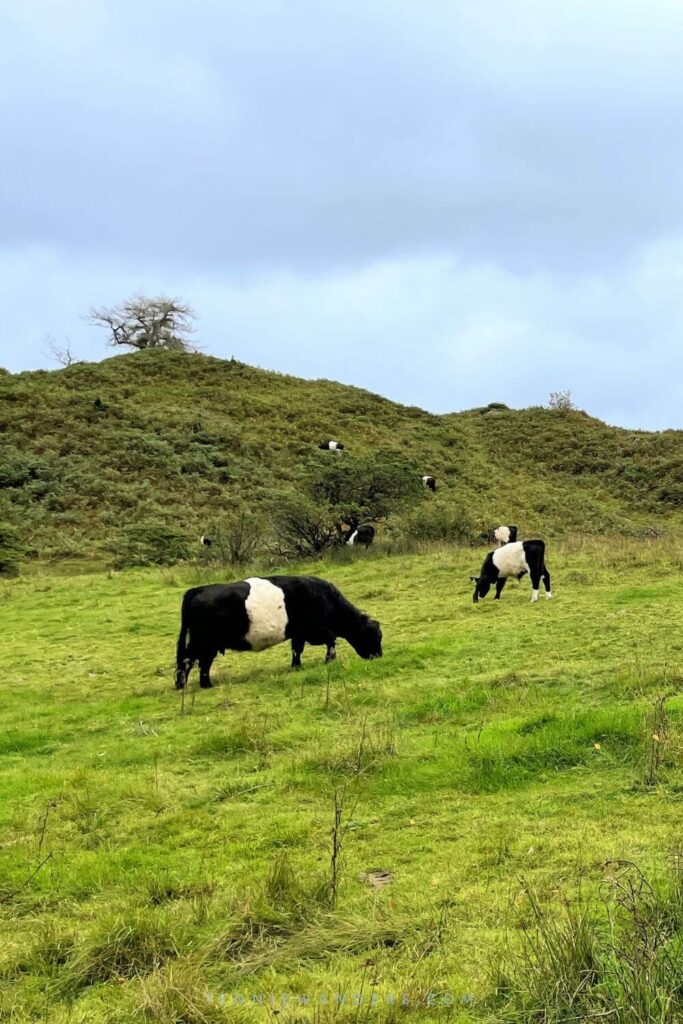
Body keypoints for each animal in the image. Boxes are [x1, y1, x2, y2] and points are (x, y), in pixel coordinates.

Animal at [174, 577, 382, 688]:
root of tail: (197, 590)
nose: (379, 656)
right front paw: (329, 660)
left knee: (192, 660)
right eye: (375, 636)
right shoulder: (316, 630)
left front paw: (296, 666)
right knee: (195, 661)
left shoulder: (299, 633)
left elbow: (297, 649)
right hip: (204, 641)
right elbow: (331, 641)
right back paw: (199, 684)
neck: (326, 599)